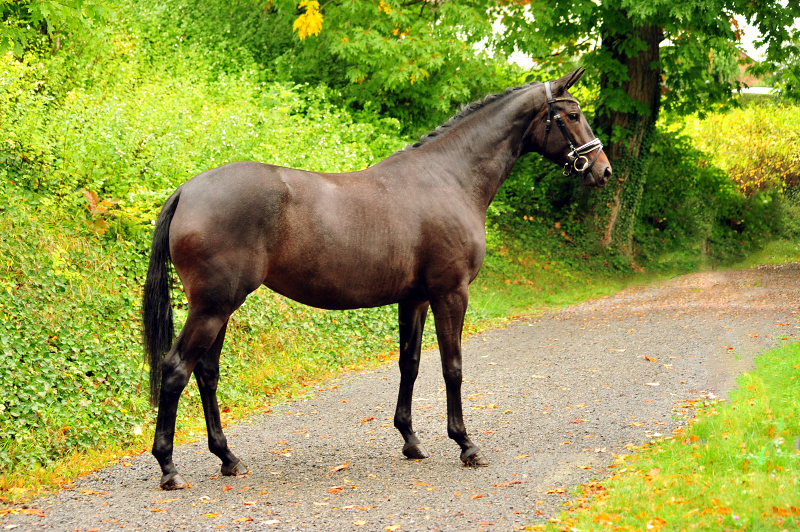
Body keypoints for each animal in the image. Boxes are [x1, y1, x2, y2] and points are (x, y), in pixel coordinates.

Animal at [142, 67, 612, 490]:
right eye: (572, 115)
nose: (602, 170)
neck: (450, 179)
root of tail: (187, 190)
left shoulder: (415, 298)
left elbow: (411, 364)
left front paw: (411, 440)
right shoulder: (451, 294)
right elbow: (453, 367)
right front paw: (466, 445)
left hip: (219, 309)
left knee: (206, 374)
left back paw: (228, 458)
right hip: (213, 306)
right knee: (176, 370)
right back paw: (169, 468)